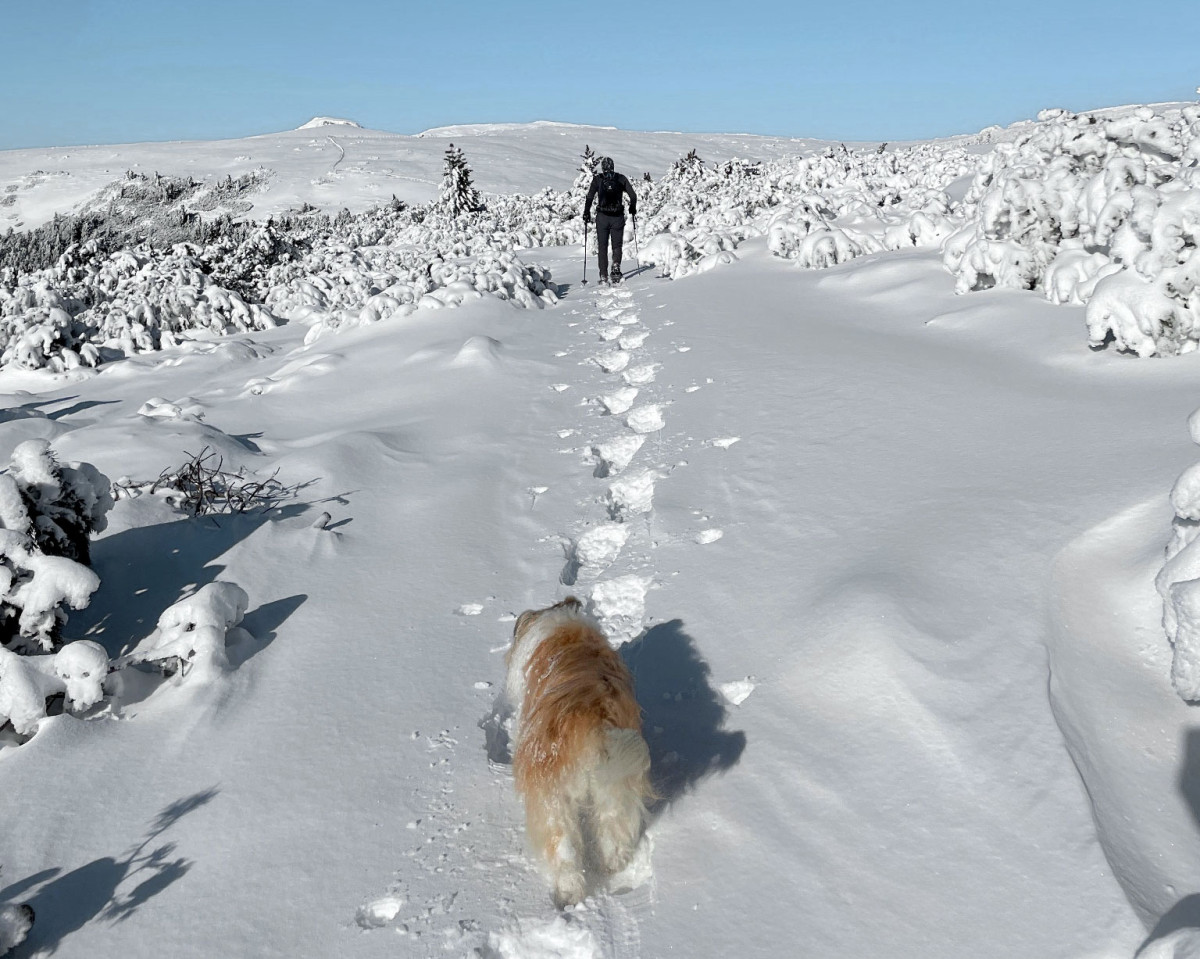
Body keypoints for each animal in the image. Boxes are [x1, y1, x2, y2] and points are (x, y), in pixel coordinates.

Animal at [505, 596, 652, 907]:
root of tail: (595, 726)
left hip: (553, 799)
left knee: (564, 851)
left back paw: (568, 894)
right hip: (614, 789)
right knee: (613, 833)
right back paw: (612, 868)